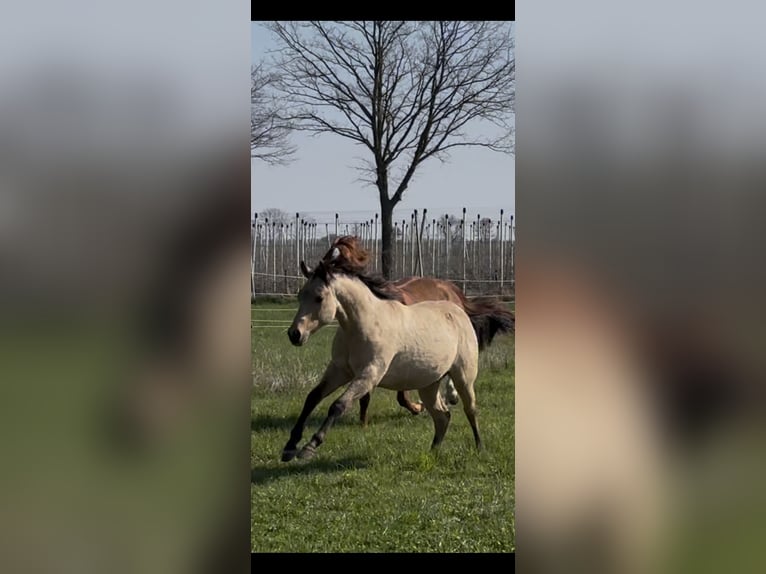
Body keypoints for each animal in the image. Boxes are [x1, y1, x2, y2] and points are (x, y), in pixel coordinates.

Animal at [281, 253, 482, 462]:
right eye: (300, 295)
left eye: (319, 297)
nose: (295, 334)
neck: (364, 325)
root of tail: (460, 312)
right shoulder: (339, 370)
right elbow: (312, 397)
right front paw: (289, 447)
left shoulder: (369, 374)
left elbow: (338, 405)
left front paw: (309, 447)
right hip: (428, 385)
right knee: (443, 416)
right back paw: (432, 453)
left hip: (463, 377)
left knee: (470, 409)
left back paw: (479, 448)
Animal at [322, 235, 515, 425]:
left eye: (339, 261)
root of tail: (450, 288)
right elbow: (366, 394)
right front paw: (363, 422)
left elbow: (401, 395)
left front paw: (417, 407)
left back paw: (450, 397)